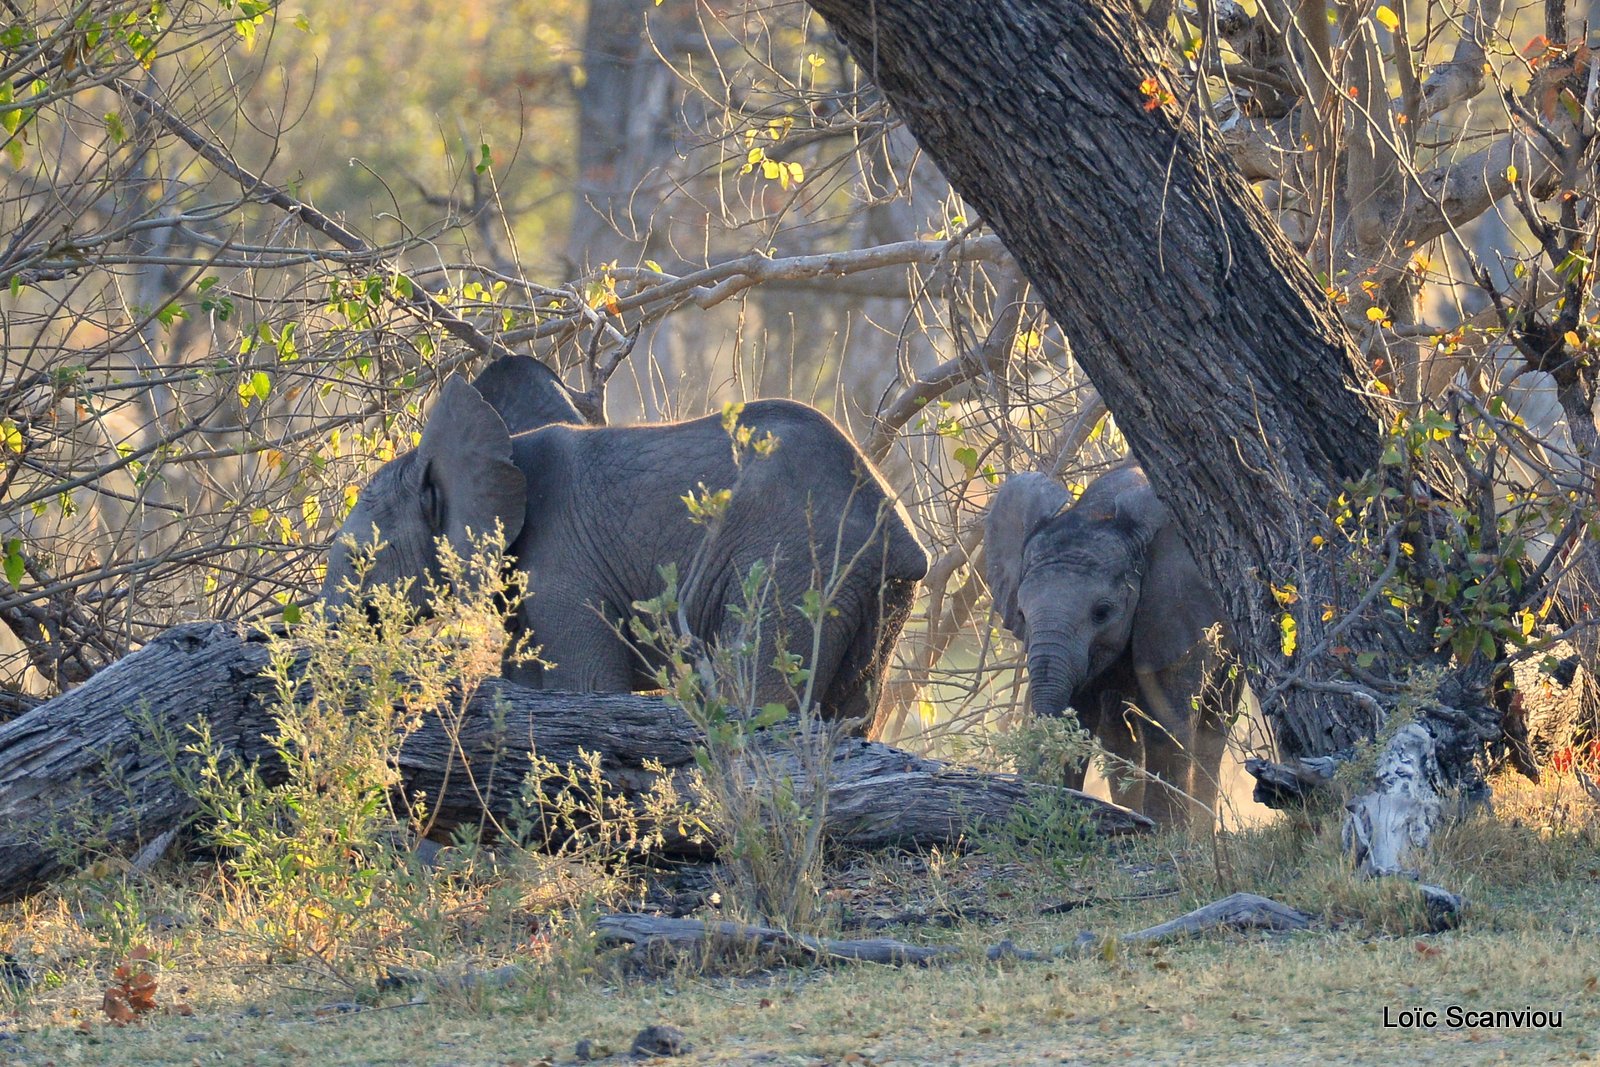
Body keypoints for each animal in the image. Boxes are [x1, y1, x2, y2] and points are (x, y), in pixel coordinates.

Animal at [321, 355, 928, 739]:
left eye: (359, 558)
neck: (505, 449)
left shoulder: (563, 569)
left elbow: (583, 688)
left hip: (794, 570)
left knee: (756, 694)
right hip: (874, 597)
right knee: (855, 713)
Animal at [985, 463, 1235, 825]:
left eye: (1102, 613)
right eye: (1021, 613)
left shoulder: (1176, 615)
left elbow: (1168, 724)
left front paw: (1167, 832)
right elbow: (1076, 717)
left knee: (1215, 723)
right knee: (1120, 734)